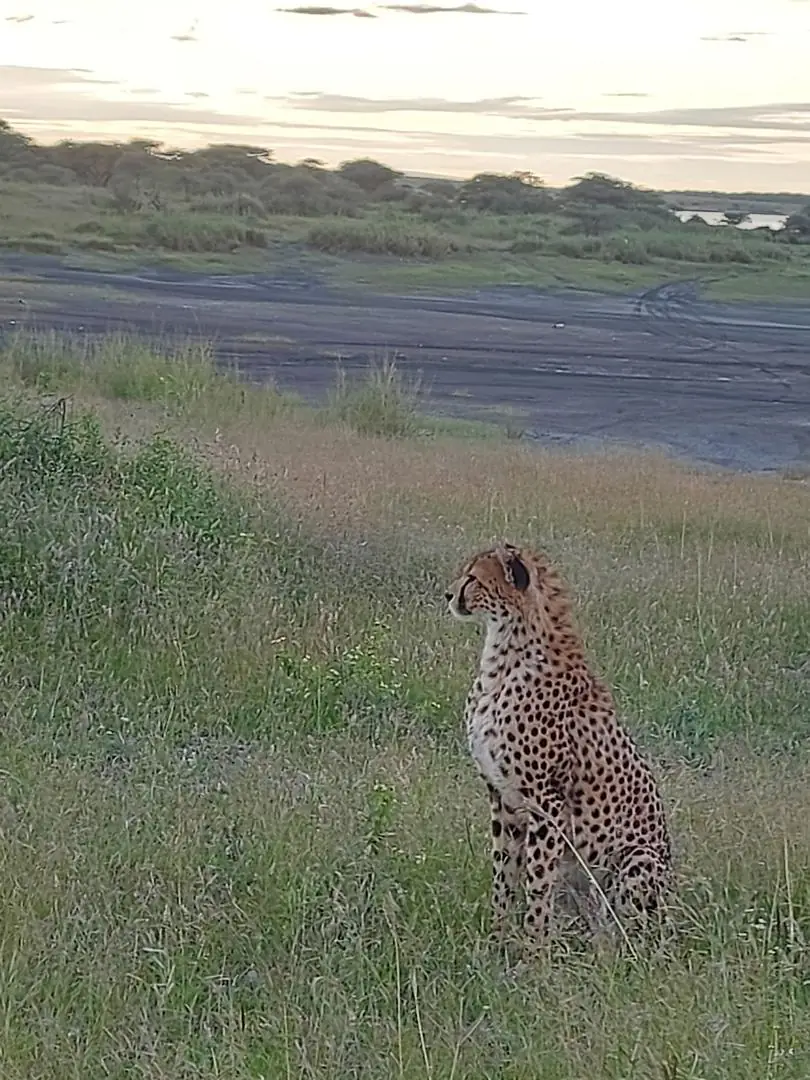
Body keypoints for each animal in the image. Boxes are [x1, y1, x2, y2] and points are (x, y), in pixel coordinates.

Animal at [445, 542, 673, 956]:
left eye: (472, 578)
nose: (448, 595)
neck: (503, 656)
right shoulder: (502, 797)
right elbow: (504, 874)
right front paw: (497, 940)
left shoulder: (546, 801)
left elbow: (537, 882)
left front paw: (534, 953)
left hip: (639, 860)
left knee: (623, 931)